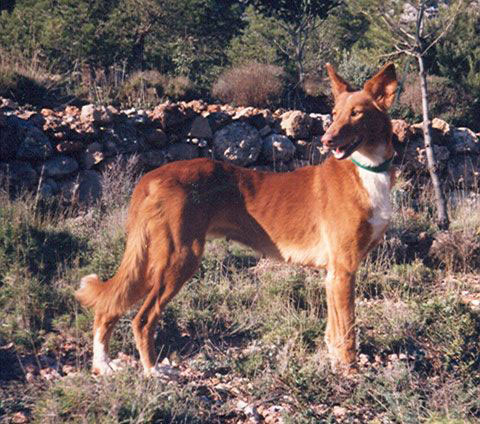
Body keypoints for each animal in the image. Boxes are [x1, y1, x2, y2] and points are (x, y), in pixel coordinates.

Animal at [75, 63, 398, 374]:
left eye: (356, 113)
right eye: (334, 114)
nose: (328, 140)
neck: (366, 170)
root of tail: (151, 177)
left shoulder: (334, 273)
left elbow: (334, 330)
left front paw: (334, 364)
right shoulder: (344, 268)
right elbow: (348, 330)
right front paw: (350, 373)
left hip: (151, 256)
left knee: (108, 308)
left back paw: (103, 365)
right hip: (179, 258)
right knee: (141, 319)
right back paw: (153, 370)